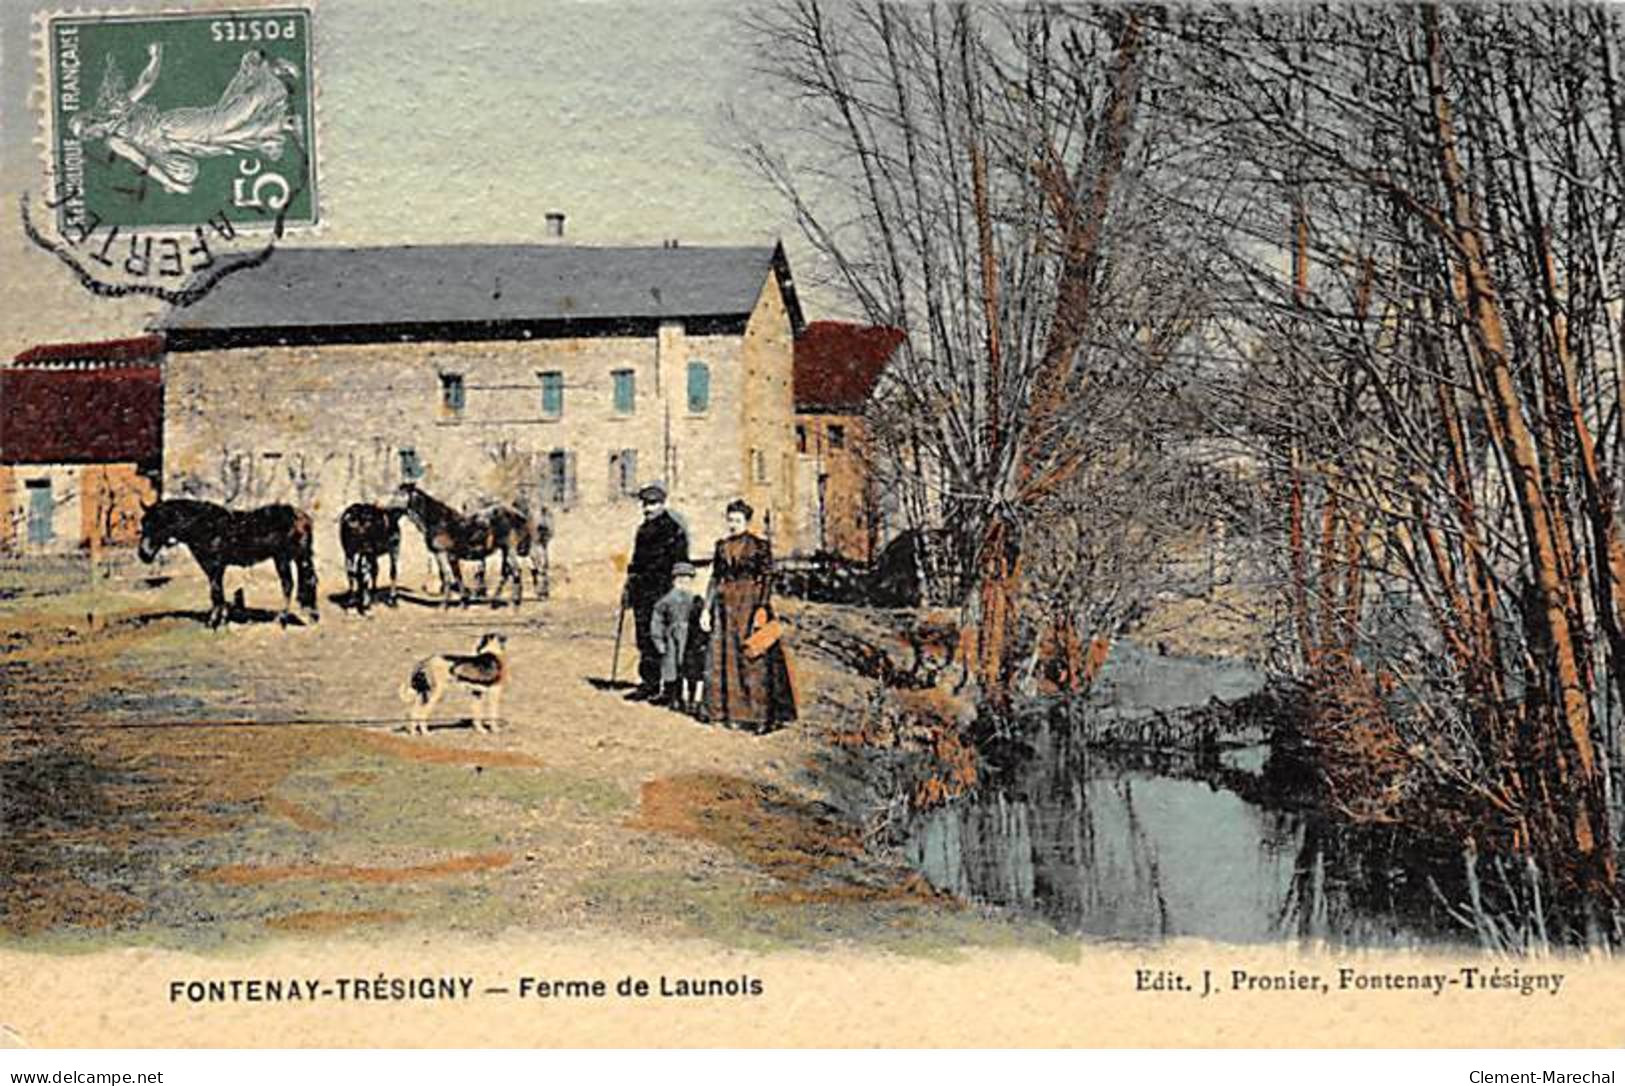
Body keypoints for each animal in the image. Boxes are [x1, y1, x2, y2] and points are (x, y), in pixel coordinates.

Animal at [139, 500, 320, 627]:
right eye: (143, 524)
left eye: (156, 524)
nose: (143, 555)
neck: (204, 526)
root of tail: (302, 516)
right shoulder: (214, 567)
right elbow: (218, 593)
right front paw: (222, 618)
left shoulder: (214, 565)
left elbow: (216, 592)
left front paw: (214, 622)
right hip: (292, 558)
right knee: (302, 582)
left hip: (284, 558)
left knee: (290, 584)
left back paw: (282, 619)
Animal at [399, 484, 533, 608]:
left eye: (399, 493)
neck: (439, 521)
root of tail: (518, 516)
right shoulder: (446, 556)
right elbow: (455, 577)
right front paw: (462, 602)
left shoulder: (445, 554)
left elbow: (450, 577)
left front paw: (447, 604)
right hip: (505, 550)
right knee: (506, 573)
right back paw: (497, 602)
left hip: (509, 549)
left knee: (515, 571)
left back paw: (515, 604)